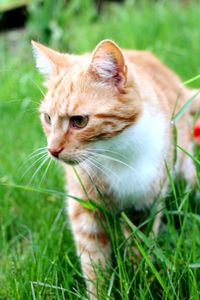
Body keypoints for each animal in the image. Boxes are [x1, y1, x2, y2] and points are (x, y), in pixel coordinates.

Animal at [31, 39, 198, 298]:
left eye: (79, 121)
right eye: (48, 118)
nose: (52, 150)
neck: (116, 154)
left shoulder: (145, 207)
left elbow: (138, 252)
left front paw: (138, 280)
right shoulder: (85, 210)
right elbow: (94, 264)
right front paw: (100, 292)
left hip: (185, 171)